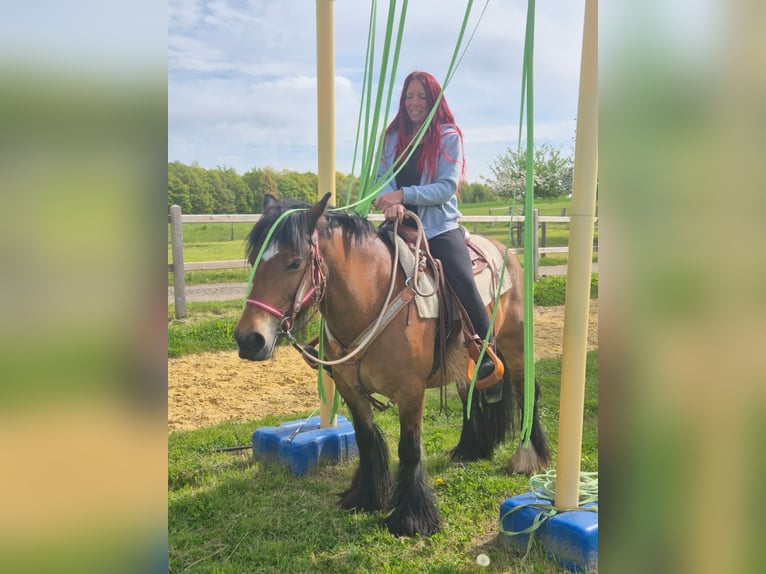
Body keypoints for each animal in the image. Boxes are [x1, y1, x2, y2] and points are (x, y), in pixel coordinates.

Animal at [234, 193, 550, 537]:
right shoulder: (350, 389)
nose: (249, 339)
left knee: (526, 392)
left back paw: (528, 458)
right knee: (470, 395)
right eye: (254, 260)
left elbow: (409, 449)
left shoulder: (410, 391)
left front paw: (411, 518)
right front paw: (366, 497)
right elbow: (366, 439)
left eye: (295, 262)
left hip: (515, 345)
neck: (371, 302)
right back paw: (469, 449)